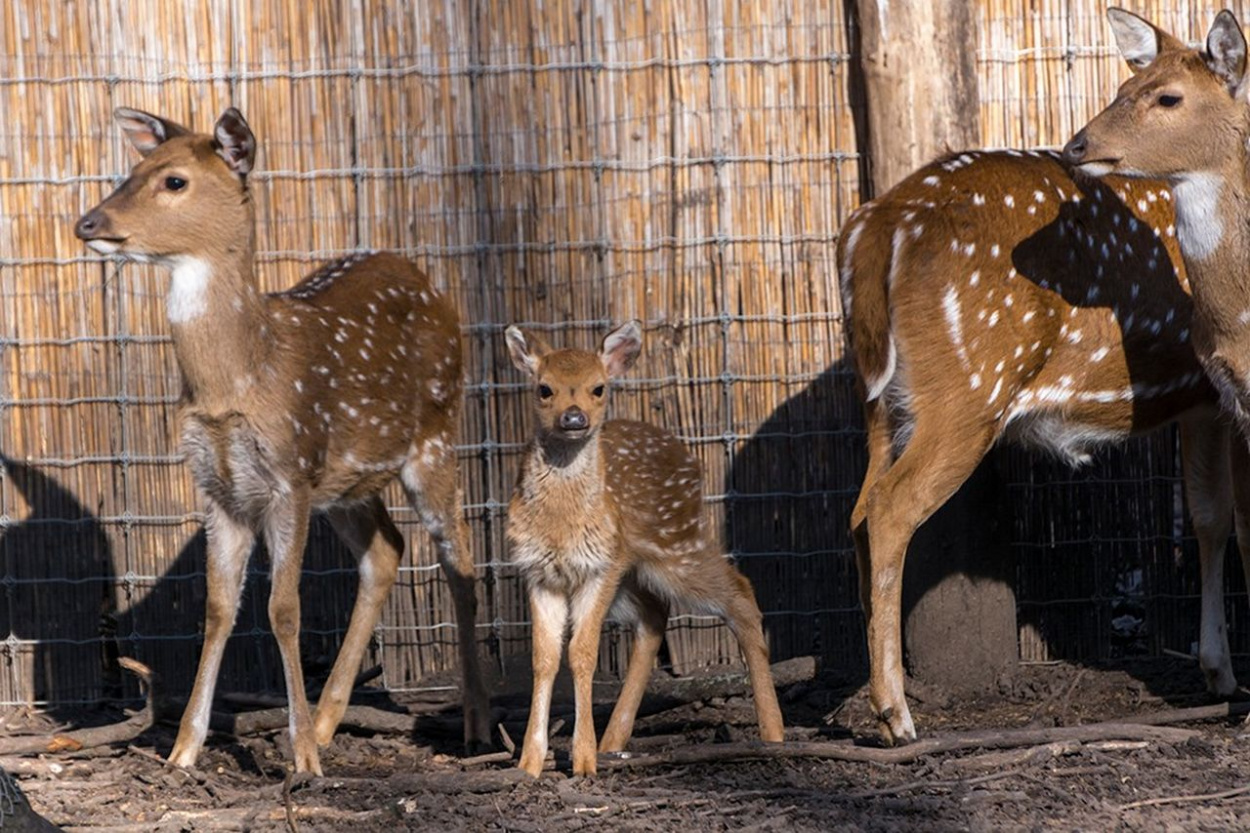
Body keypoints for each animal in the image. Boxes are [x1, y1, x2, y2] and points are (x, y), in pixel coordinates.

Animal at [70, 108, 492, 770]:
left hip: (435, 435)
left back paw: (475, 725)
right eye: (132, 171)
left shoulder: (289, 473)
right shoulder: (220, 487)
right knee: (387, 549)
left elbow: (284, 609)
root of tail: (425, 278)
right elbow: (219, 609)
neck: (239, 378)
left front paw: (302, 762)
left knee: (461, 562)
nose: (88, 222)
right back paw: (326, 720)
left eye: (174, 180)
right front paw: (183, 751)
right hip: (346, 481)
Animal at [505, 320, 780, 775]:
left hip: (676, 542)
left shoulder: (599, 565)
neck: (561, 526)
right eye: (544, 388)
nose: (574, 417)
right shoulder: (537, 571)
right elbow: (544, 658)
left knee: (740, 592)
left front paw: (582, 762)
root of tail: (687, 456)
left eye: (598, 388)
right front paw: (529, 763)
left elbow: (582, 653)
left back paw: (774, 734)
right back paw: (613, 740)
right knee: (655, 615)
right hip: (636, 568)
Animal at [840, 139, 1250, 740]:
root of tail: (877, 224)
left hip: (880, 400)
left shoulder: (1201, 401)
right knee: (890, 507)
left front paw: (1219, 672)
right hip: (968, 390)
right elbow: (1244, 526)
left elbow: (1210, 518)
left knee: (859, 510)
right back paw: (897, 713)